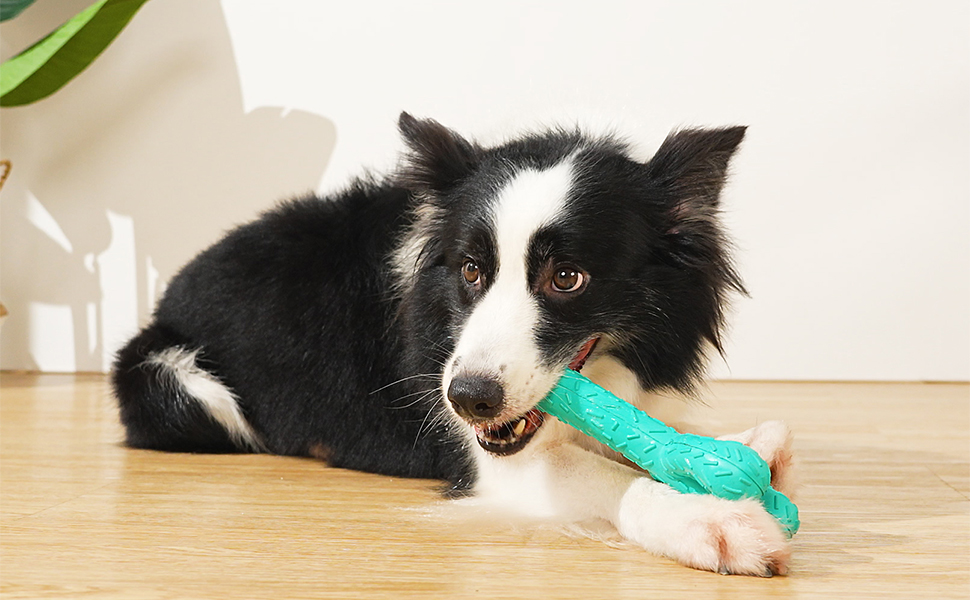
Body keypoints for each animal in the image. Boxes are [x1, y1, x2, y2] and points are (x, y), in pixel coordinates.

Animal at [113, 112, 796, 576]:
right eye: (471, 270)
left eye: (567, 278)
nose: (470, 398)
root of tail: (169, 295)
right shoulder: (482, 455)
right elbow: (585, 468)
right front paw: (713, 520)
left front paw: (742, 447)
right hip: (178, 385)